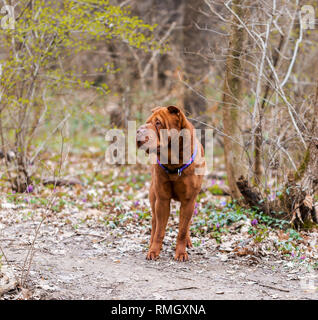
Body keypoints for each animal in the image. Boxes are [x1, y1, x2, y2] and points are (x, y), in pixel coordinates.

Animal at [135, 106, 205, 262]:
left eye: (158, 123)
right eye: (147, 122)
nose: (138, 130)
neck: (174, 162)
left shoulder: (189, 201)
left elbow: (183, 230)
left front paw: (181, 252)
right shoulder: (162, 200)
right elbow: (160, 230)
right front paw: (154, 251)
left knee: (187, 224)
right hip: (154, 196)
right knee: (155, 222)